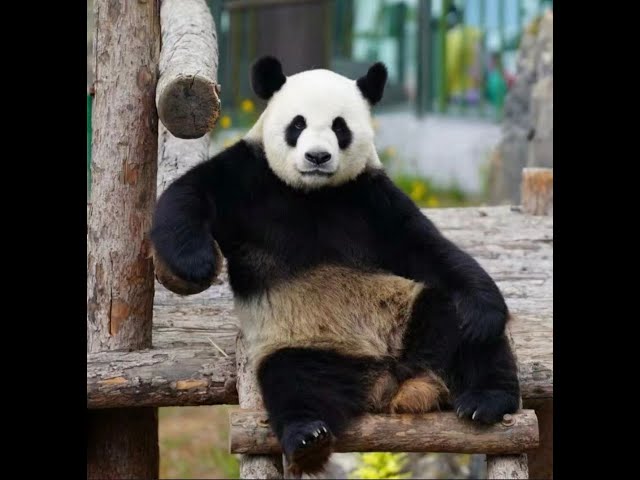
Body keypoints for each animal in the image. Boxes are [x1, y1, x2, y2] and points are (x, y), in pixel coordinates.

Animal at [150, 56, 520, 476]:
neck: (314, 193)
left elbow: (427, 247)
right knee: (293, 382)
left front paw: (484, 310)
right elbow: (188, 195)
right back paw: (307, 437)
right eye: (297, 124)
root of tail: (391, 380)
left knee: (462, 330)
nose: (318, 157)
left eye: (339, 127)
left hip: (411, 312)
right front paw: (197, 264)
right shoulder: (250, 177)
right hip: (304, 344)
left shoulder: (370, 196)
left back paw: (485, 399)